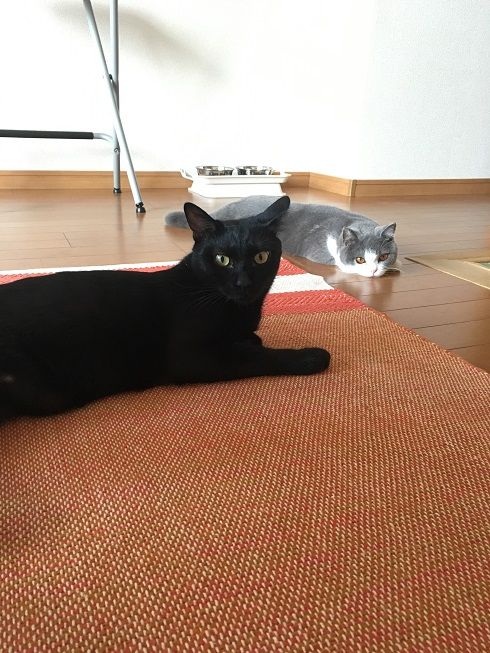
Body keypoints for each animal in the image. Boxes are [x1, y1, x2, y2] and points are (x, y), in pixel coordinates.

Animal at [0, 196, 329, 422]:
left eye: (261, 257)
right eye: (222, 259)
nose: (243, 283)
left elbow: (251, 342)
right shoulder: (191, 356)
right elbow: (257, 356)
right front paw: (311, 357)